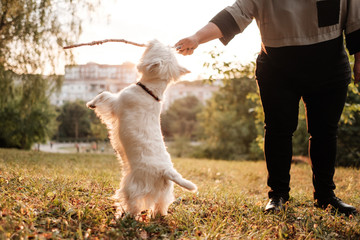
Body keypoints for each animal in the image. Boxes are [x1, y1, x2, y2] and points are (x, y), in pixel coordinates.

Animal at [86, 39, 197, 218]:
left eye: (158, 47)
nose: (154, 39)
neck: (150, 90)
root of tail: (166, 171)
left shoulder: (116, 103)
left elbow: (104, 94)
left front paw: (91, 103)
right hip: (164, 192)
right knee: (161, 205)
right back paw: (158, 215)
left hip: (134, 184)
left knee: (133, 202)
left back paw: (125, 214)